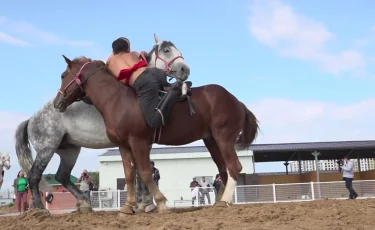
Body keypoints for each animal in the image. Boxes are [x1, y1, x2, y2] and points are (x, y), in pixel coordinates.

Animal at [14, 33, 188, 212]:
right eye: (167, 50)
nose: (185, 70)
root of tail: (31, 119)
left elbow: (138, 172)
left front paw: (142, 202)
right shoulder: (138, 141)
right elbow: (140, 171)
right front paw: (146, 202)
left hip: (70, 150)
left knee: (62, 175)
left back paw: (83, 203)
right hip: (46, 149)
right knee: (34, 176)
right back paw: (39, 209)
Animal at [53, 55, 258, 214]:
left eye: (63, 75)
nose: (57, 102)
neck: (116, 100)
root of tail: (236, 101)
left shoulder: (139, 142)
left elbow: (144, 173)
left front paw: (160, 203)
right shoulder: (123, 145)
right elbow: (129, 175)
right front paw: (128, 206)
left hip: (224, 137)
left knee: (234, 167)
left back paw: (225, 201)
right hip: (212, 140)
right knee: (223, 169)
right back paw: (219, 202)